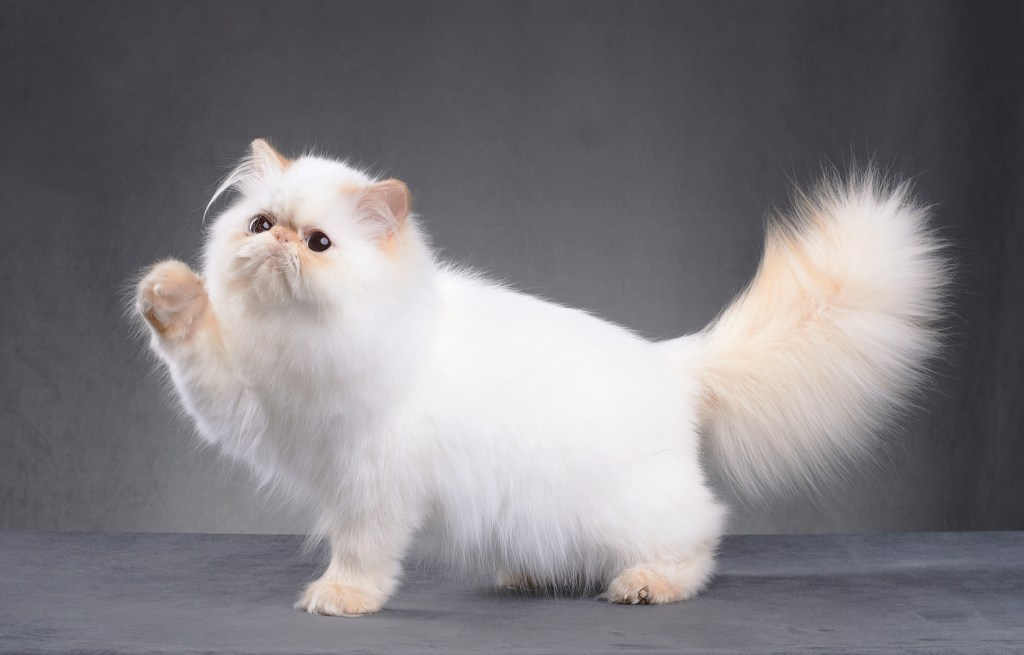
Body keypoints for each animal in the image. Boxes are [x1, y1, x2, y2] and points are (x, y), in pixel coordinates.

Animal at [136, 138, 950, 614]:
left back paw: (648, 585)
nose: (278, 247)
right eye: (260, 224)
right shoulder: (245, 404)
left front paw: (342, 596)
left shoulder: (375, 482)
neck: (299, 339)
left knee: (702, 536)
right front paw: (166, 292)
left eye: (319, 243)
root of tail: (671, 361)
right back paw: (528, 577)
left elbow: (361, 549)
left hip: (637, 508)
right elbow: (196, 350)